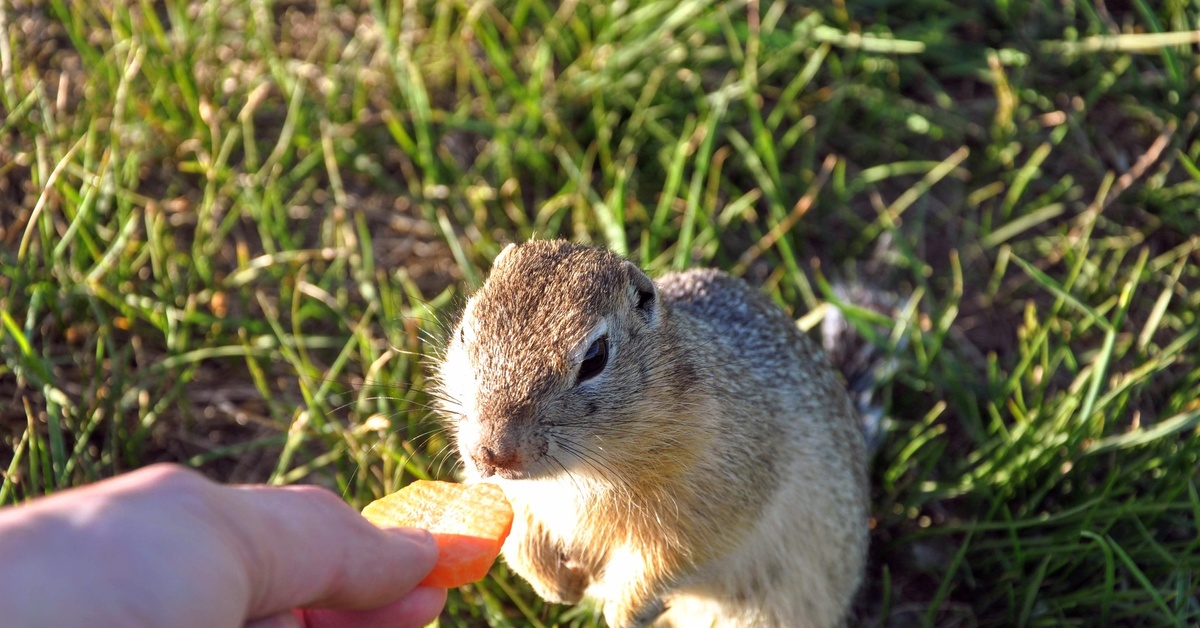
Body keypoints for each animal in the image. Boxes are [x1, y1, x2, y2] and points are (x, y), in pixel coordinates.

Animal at [436, 241, 868, 628]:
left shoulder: (708, 510)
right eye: (464, 333)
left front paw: (624, 612)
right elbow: (515, 532)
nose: (491, 452)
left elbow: (666, 562)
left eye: (595, 357)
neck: (570, 477)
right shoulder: (508, 492)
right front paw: (558, 587)